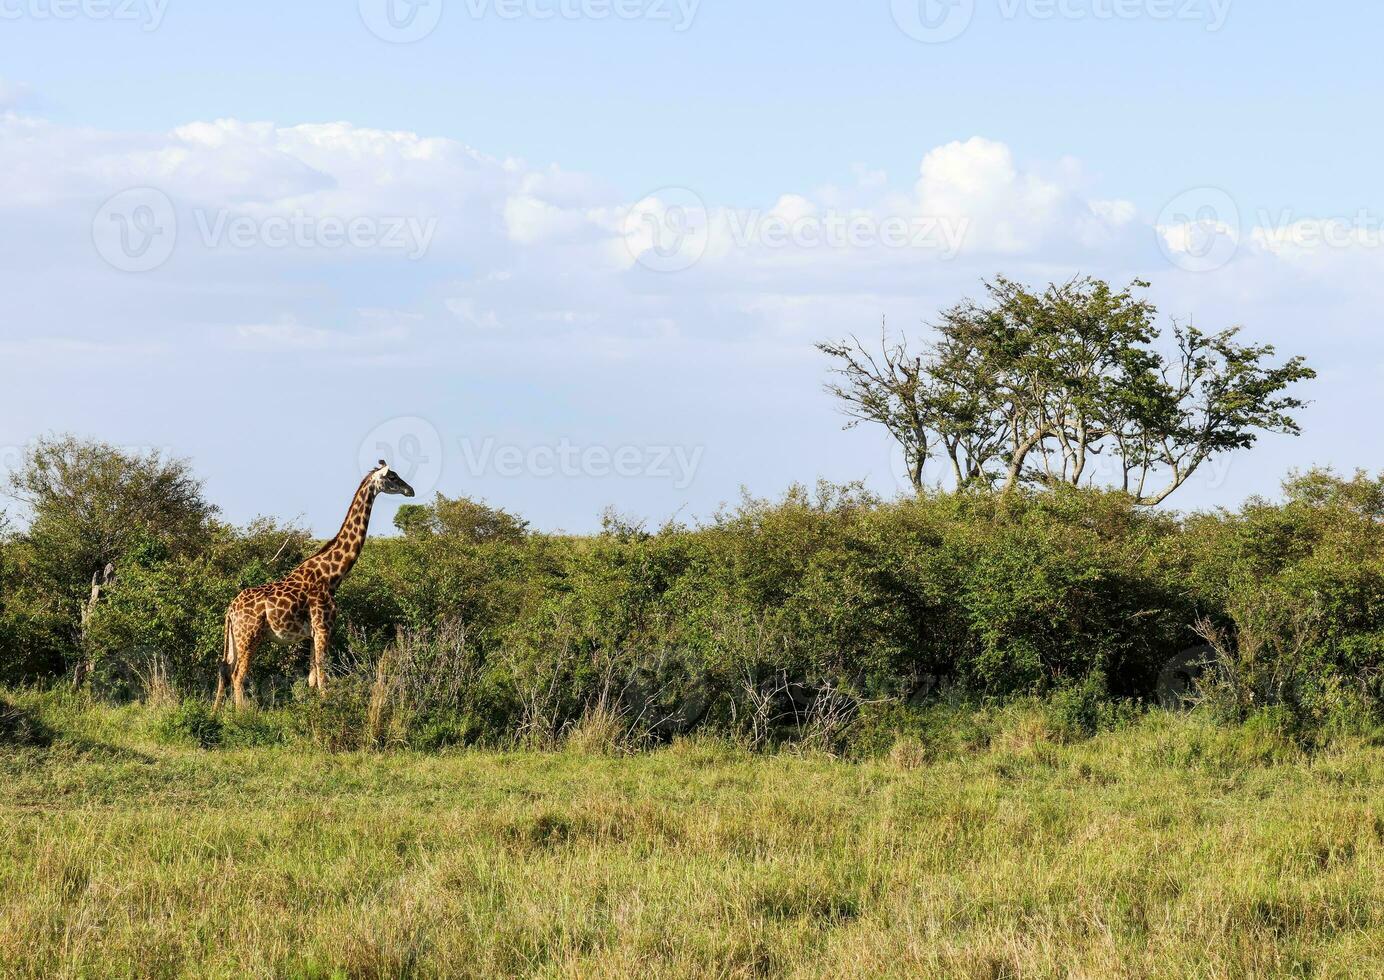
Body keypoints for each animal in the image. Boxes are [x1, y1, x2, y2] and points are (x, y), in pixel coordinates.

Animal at [213, 462, 412, 708]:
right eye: (392, 477)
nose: (410, 490)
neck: (332, 575)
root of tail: (231, 609)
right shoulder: (324, 626)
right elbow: (323, 678)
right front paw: (326, 710)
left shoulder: (311, 634)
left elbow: (312, 680)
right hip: (249, 636)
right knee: (237, 675)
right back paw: (242, 714)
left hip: (234, 637)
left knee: (224, 669)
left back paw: (217, 712)